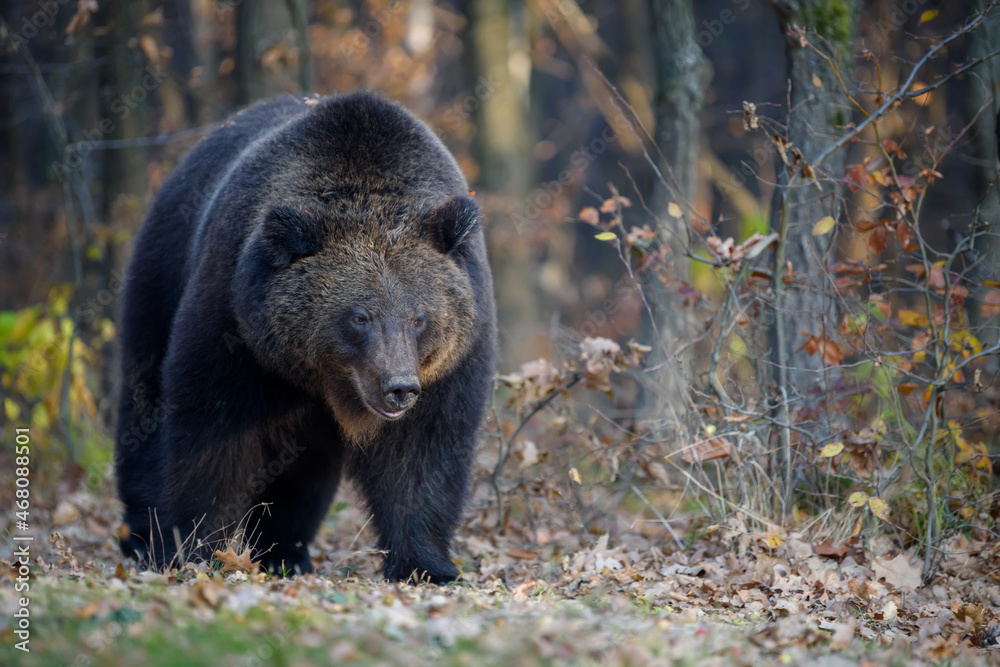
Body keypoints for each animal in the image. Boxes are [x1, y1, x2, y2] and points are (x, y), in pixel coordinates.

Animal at [114, 92, 496, 583]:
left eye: (419, 317)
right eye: (360, 316)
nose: (399, 388)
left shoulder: (453, 360)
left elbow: (424, 451)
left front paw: (426, 565)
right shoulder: (235, 326)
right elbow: (211, 432)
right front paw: (196, 549)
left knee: (304, 470)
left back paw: (285, 552)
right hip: (160, 275)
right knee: (144, 406)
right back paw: (142, 536)